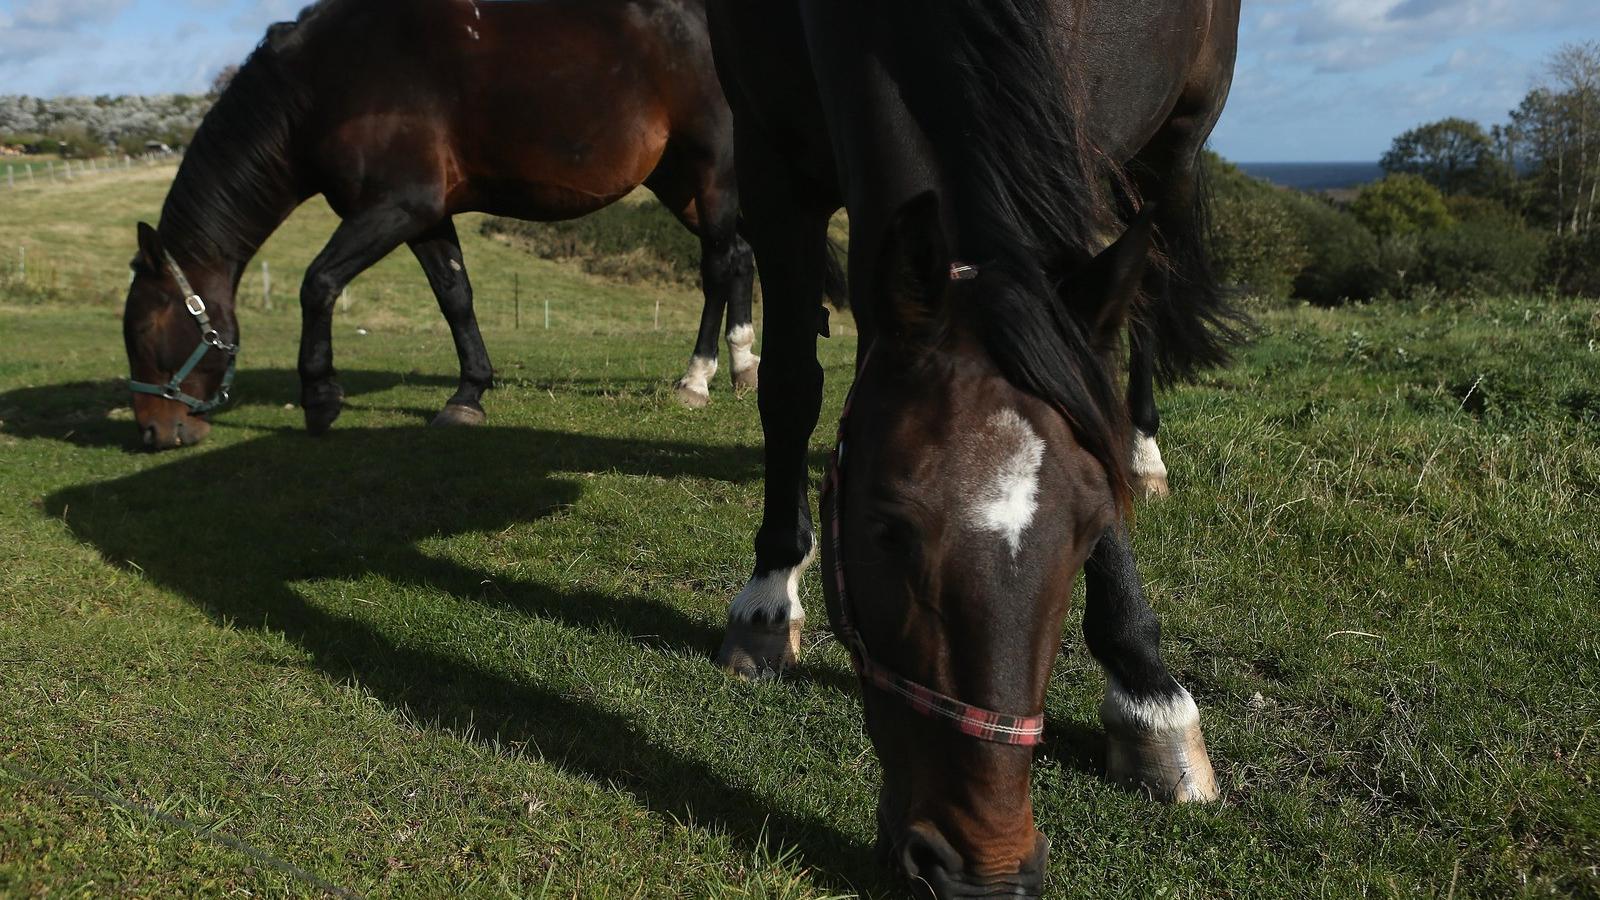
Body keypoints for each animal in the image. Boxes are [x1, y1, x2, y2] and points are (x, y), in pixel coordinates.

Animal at [118, 0, 755, 448]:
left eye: (144, 331)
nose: (152, 431)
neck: (330, 79)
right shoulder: (427, 217)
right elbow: (455, 296)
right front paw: (468, 394)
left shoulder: (397, 207)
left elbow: (318, 283)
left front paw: (320, 398)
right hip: (679, 182)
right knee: (742, 258)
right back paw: (744, 366)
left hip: (713, 169)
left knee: (718, 264)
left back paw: (696, 379)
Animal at [713, 0, 1248, 890]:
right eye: (885, 531)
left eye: (1089, 532)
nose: (986, 872)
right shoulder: (768, 153)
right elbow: (788, 382)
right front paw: (768, 594)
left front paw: (1148, 695)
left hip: (1169, 149)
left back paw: (1146, 451)